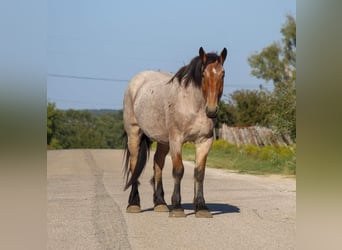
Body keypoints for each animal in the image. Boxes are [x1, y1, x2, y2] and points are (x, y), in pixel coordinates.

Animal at [122, 47, 227, 217]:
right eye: (203, 74)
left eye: (222, 74)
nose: (211, 111)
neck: (193, 104)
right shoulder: (176, 140)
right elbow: (178, 170)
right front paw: (177, 207)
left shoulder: (204, 141)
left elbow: (199, 172)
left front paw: (201, 207)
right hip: (134, 134)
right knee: (134, 165)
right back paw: (134, 204)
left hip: (163, 141)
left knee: (157, 164)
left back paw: (160, 203)